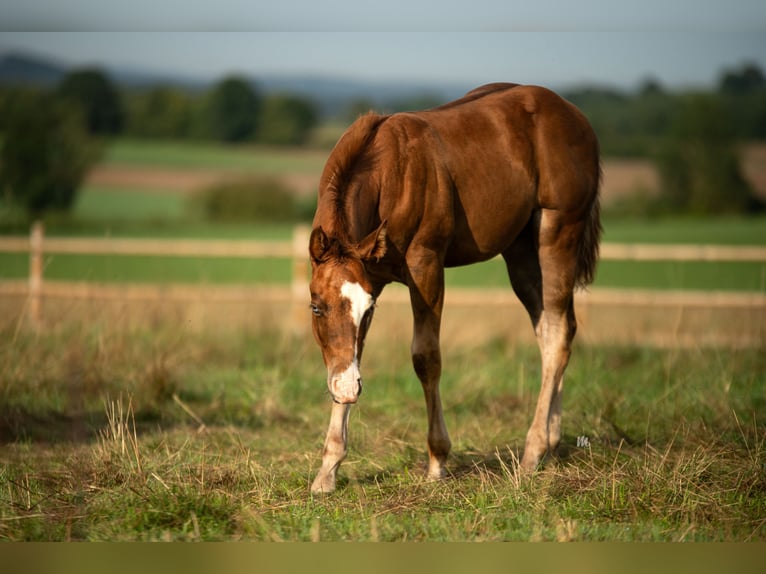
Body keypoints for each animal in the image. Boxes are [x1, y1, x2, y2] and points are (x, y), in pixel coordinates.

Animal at [307, 83, 601, 493]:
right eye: (316, 307)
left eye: (367, 310)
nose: (348, 389)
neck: (389, 172)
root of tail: (577, 118)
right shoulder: (369, 279)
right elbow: (351, 354)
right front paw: (328, 470)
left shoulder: (426, 267)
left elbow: (426, 358)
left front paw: (437, 460)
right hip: (521, 253)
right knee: (552, 331)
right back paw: (552, 442)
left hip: (557, 232)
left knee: (558, 333)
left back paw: (532, 452)